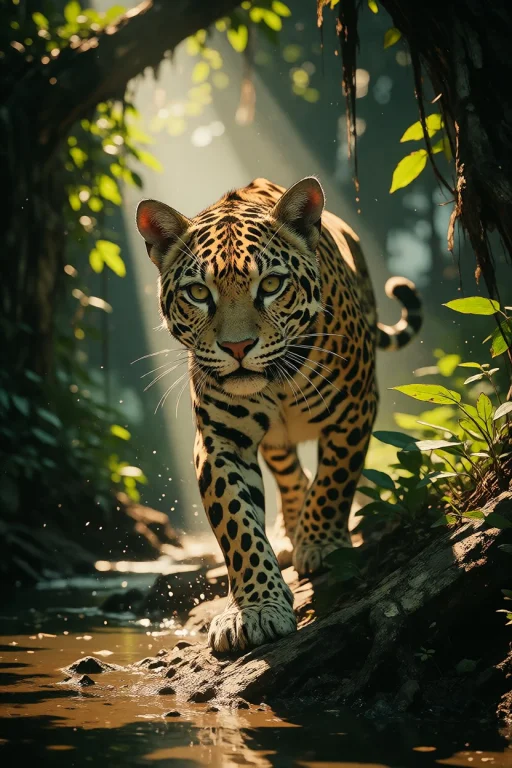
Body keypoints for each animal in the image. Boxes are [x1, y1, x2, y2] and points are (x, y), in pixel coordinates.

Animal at [135, 176, 422, 654]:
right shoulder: (220, 440)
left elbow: (334, 481)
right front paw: (254, 609)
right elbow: (237, 523)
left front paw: (322, 545)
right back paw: (289, 531)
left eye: (270, 284)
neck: (277, 382)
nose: (236, 348)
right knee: (289, 471)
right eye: (199, 293)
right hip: (274, 442)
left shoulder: (356, 408)